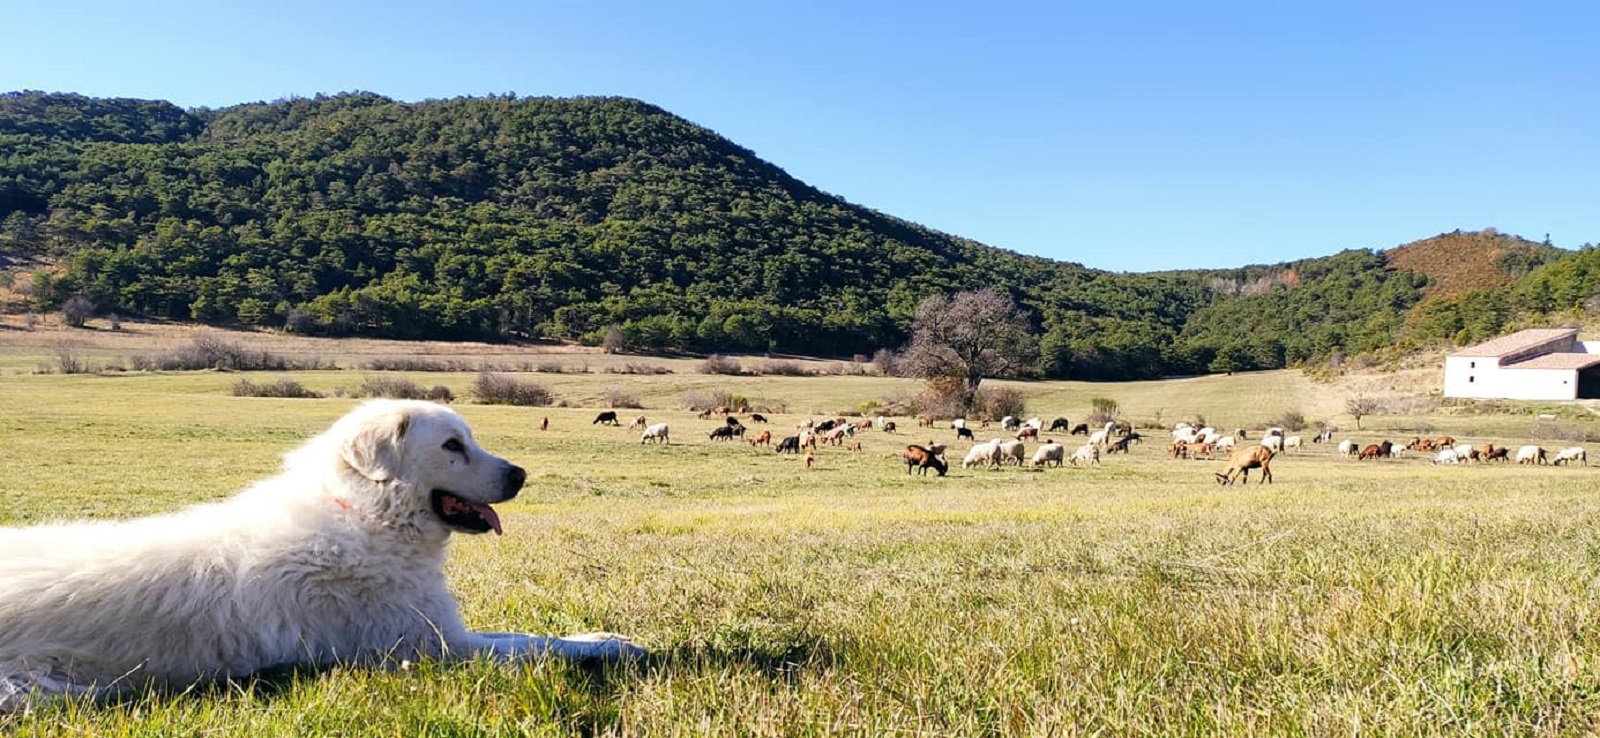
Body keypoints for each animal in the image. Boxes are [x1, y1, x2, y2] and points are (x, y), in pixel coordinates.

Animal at [1, 400, 636, 710]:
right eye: (453, 446)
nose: (520, 474)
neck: (366, 513)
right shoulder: (437, 648)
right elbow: (535, 644)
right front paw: (611, 645)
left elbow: (525, 634)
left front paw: (600, 635)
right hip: (38, 691)